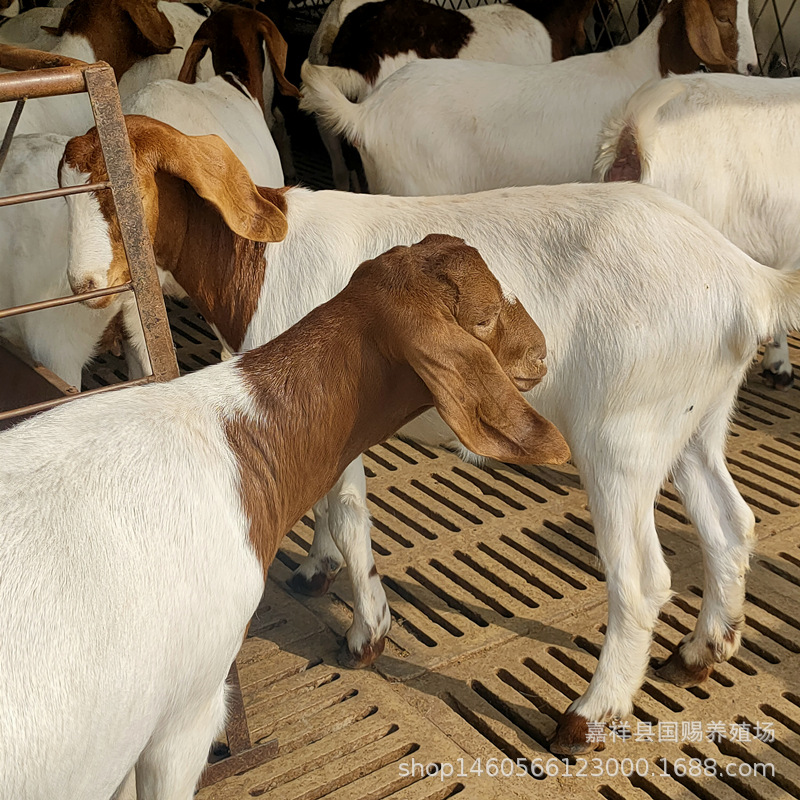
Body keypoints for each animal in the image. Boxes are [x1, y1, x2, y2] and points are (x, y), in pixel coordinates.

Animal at [64, 115, 800, 752]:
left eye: (128, 184)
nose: (83, 284)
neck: (262, 262)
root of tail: (746, 279)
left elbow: (349, 514)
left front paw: (366, 637)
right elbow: (326, 505)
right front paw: (314, 570)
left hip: (622, 433)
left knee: (642, 579)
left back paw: (589, 716)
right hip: (695, 415)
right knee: (729, 522)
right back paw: (702, 652)